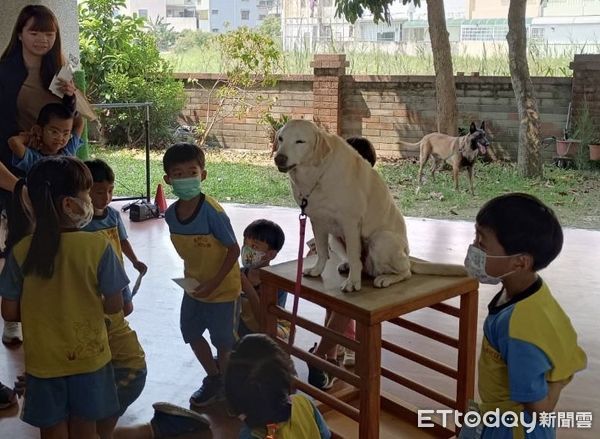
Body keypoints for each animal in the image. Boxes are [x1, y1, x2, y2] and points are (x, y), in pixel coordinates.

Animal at [274, 120, 466, 292]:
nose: (278, 158)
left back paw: (385, 278)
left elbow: (354, 256)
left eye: (300, 141)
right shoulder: (317, 221)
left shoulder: (350, 223)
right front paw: (316, 270)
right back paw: (347, 266)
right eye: (281, 139)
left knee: (405, 272)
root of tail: (408, 257)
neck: (317, 174)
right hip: (334, 238)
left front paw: (352, 283)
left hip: (381, 240)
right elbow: (322, 252)